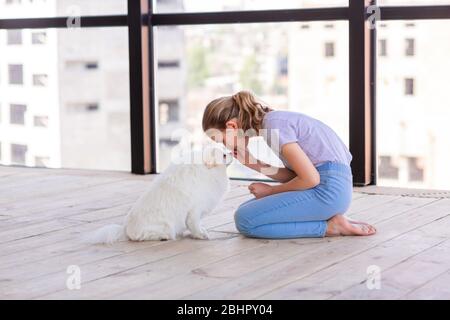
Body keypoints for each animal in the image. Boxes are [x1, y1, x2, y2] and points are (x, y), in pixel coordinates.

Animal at [89, 145, 234, 242]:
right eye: (224, 155)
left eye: (227, 150)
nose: (232, 152)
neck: (208, 170)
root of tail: (125, 230)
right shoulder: (195, 210)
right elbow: (194, 224)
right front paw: (201, 235)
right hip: (165, 227)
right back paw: (164, 237)